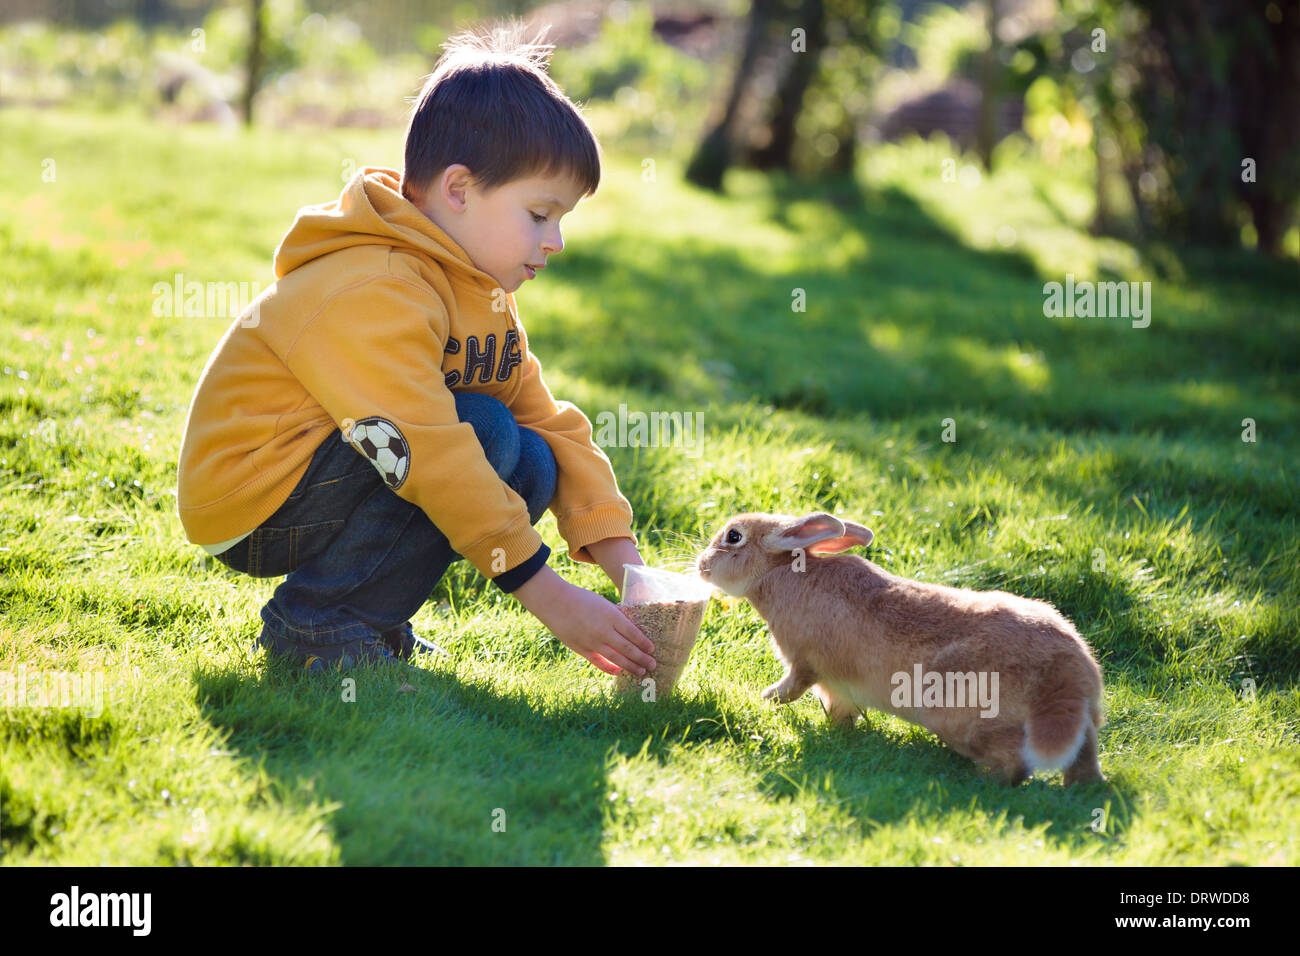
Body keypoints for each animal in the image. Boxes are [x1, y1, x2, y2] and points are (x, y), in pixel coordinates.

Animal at [696, 509, 1102, 785]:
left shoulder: (807, 665)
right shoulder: (837, 686)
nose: (701, 566)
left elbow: (793, 688)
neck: (778, 573)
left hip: (965, 715)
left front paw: (764, 698)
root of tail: (1068, 674)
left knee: (1013, 763)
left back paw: (978, 779)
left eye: (734, 537)